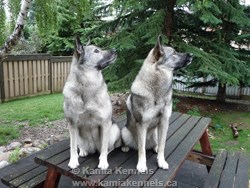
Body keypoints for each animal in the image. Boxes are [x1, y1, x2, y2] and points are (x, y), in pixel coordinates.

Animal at [63, 36, 120, 169]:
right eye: (96, 51)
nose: (115, 50)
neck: (86, 87)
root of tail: (93, 148)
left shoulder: (105, 123)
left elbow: (104, 148)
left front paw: (103, 162)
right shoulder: (72, 124)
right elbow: (73, 147)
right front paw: (73, 161)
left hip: (112, 131)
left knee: (109, 147)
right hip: (77, 135)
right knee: (80, 146)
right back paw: (83, 151)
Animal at [121, 35, 193, 172]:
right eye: (174, 53)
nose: (192, 54)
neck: (156, 91)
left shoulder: (164, 122)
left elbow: (162, 146)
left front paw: (161, 161)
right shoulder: (142, 124)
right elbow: (142, 149)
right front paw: (141, 164)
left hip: (155, 133)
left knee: (156, 144)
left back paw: (154, 147)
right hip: (125, 131)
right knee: (136, 145)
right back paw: (125, 147)